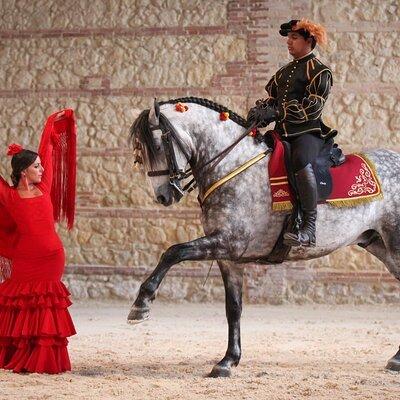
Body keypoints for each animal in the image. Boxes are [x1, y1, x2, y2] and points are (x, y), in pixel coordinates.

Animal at [127, 97, 400, 378]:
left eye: (157, 146)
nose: (163, 196)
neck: (233, 165)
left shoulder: (228, 242)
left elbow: (173, 252)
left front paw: (141, 304)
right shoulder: (228, 256)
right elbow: (233, 308)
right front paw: (227, 361)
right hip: (380, 246)